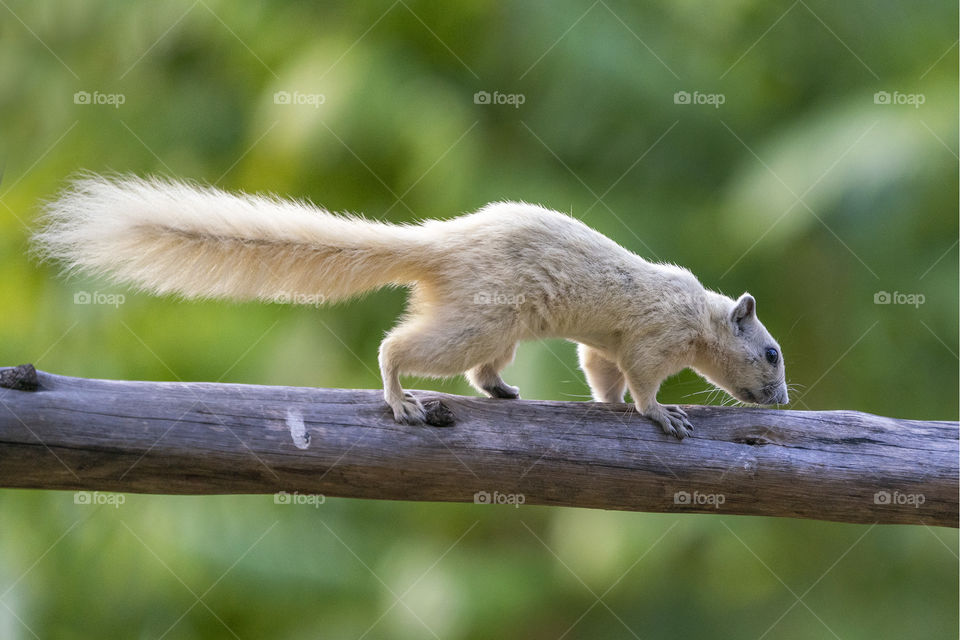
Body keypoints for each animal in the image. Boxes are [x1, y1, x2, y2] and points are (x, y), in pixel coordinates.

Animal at [35, 174, 788, 440]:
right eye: (772, 353)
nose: (783, 399)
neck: (700, 316)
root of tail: (442, 244)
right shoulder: (653, 339)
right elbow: (642, 382)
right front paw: (662, 415)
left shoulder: (604, 344)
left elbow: (602, 373)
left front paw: (609, 407)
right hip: (477, 322)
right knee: (398, 348)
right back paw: (401, 400)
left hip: (497, 327)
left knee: (481, 370)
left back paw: (503, 391)